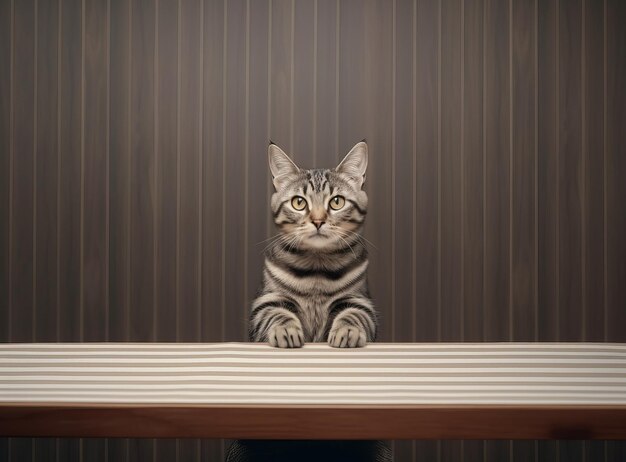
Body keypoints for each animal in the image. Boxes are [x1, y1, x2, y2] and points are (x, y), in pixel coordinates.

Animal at [247, 143, 376, 348]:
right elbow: (276, 313)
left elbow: (354, 314)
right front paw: (285, 330)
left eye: (337, 202)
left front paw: (348, 331)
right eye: (298, 202)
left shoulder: (359, 299)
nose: (317, 221)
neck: (316, 269)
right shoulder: (267, 299)